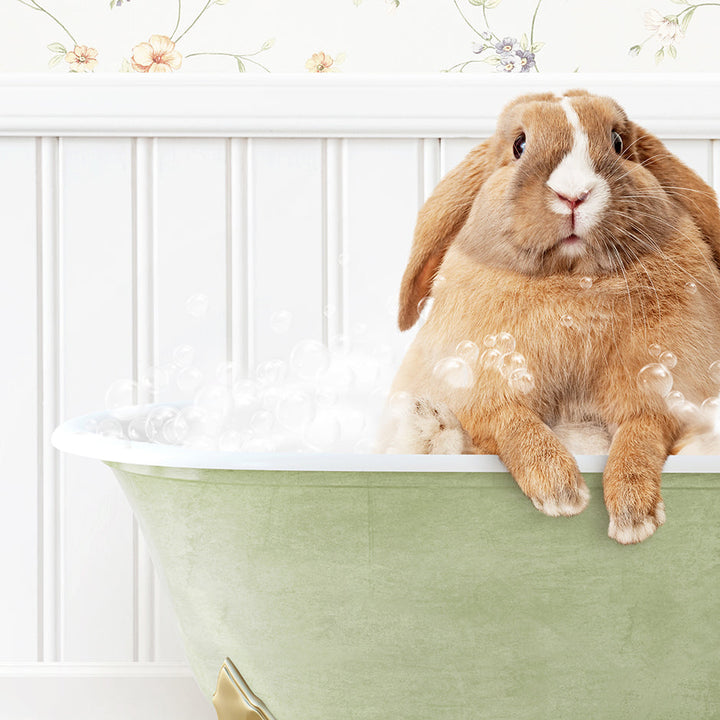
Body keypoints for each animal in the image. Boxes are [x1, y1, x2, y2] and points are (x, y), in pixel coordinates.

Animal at [386, 90, 720, 544]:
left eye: (618, 142)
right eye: (519, 145)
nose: (574, 195)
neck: (572, 283)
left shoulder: (660, 390)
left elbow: (640, 435)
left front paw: (633, 517)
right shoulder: (481, 386)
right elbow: (512, 421)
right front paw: (561, 491)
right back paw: (430, 425)